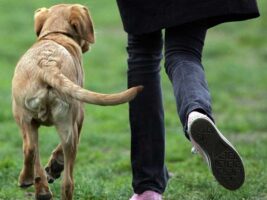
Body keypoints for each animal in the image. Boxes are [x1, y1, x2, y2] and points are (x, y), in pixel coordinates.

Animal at [11, 3, 142, 200]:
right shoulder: (79, 118)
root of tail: (47, 64)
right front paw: (54, 168)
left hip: (26, 119)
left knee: (32, 150)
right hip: (64, 123)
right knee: (64, 178)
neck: (57, 34)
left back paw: (30, 182)